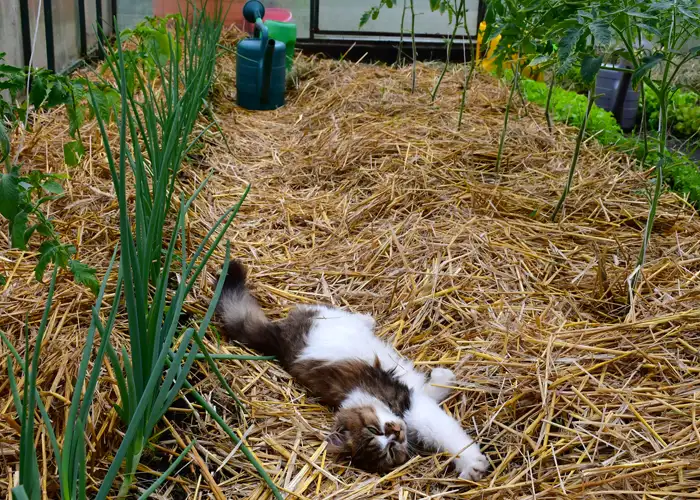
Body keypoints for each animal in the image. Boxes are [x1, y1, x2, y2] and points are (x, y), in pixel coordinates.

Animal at [216, 260, 490, 478]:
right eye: (390, 450)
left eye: (373, 428)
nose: (394, 434)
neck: (358, 397)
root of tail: (277, 338)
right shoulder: (413, 404)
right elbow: (439, 418)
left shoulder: (410, 403)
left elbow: (448, 435)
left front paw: (470, 462)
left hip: (322, 318)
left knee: (324, 309)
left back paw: (367, 320)